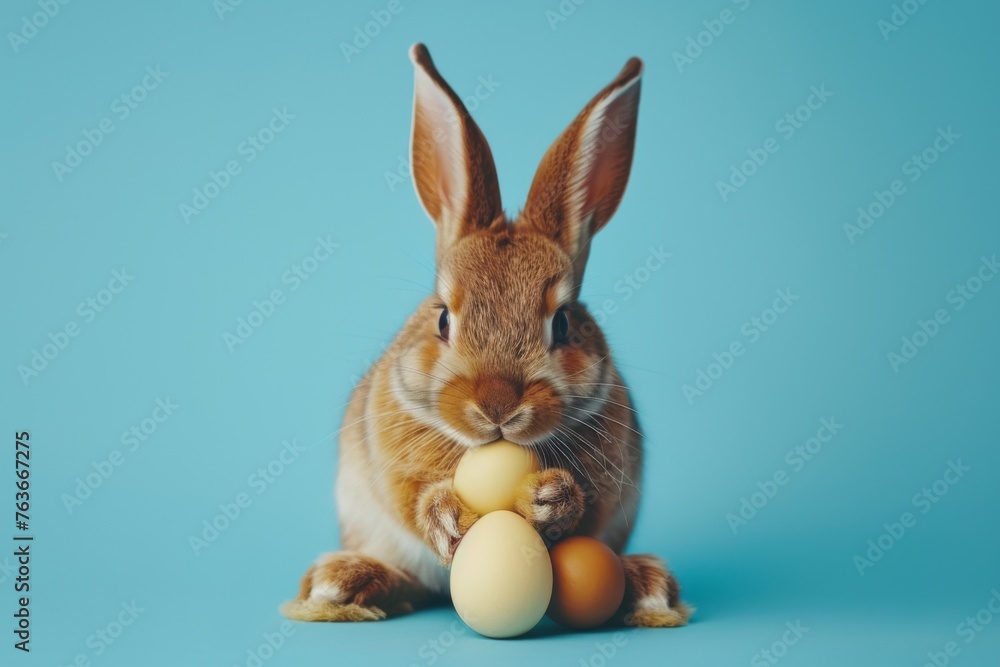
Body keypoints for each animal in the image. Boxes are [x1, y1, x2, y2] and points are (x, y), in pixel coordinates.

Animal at [280, 43, 690, 629]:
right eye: (443, 319)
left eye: (563, 322)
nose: (497, 404)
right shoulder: (392, 466)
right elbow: (413, 499)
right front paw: (447, 517)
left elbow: (587, 508)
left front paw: (551, 500)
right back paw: (342, 584)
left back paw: (647, 587)